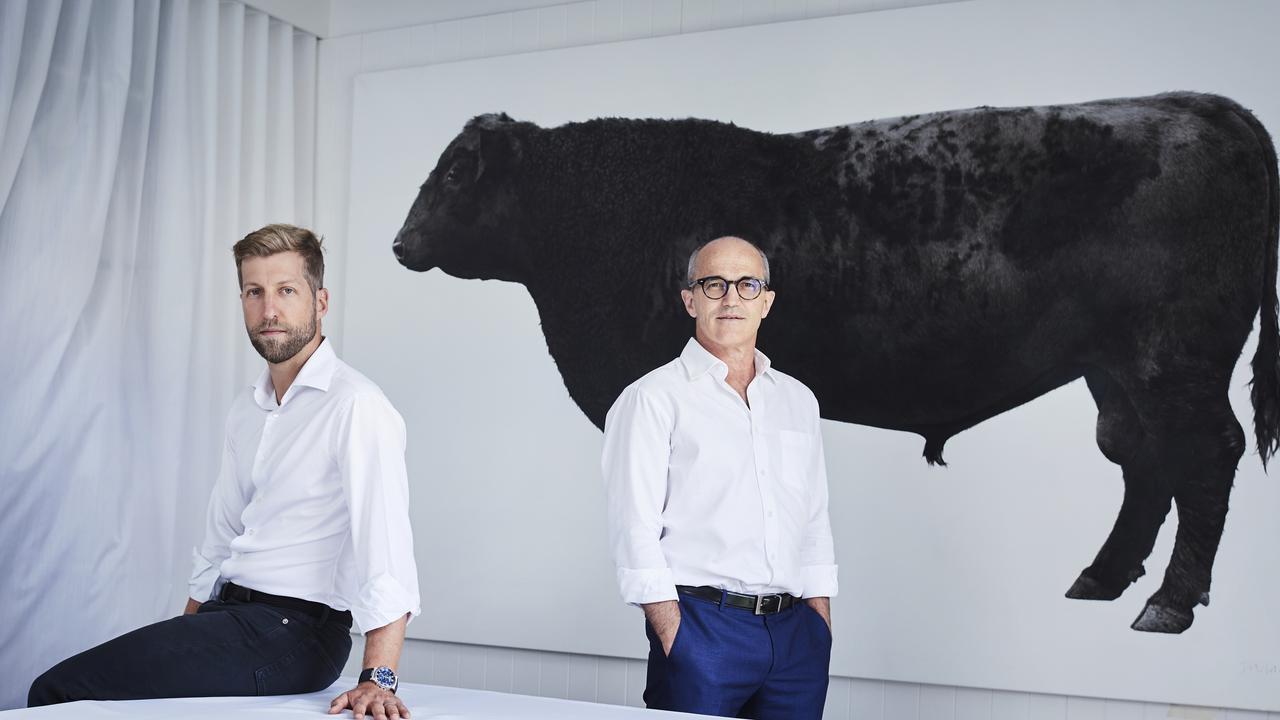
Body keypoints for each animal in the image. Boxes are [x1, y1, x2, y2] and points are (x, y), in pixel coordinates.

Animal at [391, 90, 1280, 632]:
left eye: (457, 169)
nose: (400, 242)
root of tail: (1202, 106)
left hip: (1172, 359)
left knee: (1205, 455)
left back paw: (1169, 602)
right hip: (1119, 370)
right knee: (1142, 460)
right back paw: (1105, 576)